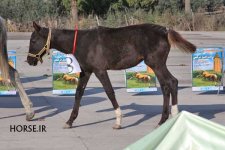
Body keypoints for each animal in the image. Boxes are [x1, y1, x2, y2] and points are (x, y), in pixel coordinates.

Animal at [25, 21, 195, 128]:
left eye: (33, 40)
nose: (29, 61)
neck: (81, 42)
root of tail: (165, 31)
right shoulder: (86, 71)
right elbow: (78, 93)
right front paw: (70, 121)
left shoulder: (100, 70)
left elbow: (109, 92)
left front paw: (118, 121)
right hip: (156, 64)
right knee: (168, 85)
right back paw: (166, 119)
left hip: (156, 64)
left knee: (171, 83)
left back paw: (170, 118)